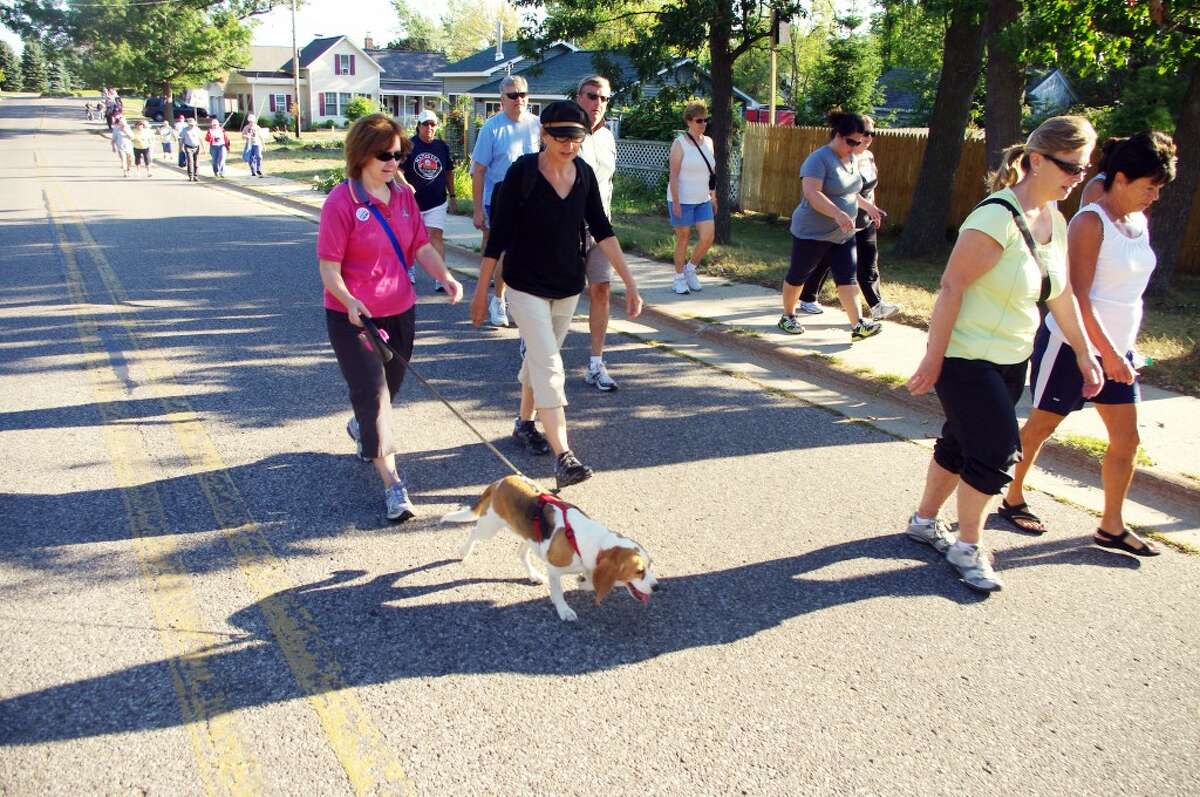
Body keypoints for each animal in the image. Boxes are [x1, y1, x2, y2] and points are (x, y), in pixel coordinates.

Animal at [446, 475, 662, 619]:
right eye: (639, 571)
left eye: (650, 565)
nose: (658, 587)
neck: (594, 541)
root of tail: (501, 481)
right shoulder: (554, 569)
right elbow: (558, 591)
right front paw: (564, 609)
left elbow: (591, 581)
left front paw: (583, 582)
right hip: (489, 527)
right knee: (474, 532)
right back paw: (463, 552)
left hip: (530, 537)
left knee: (520, 553)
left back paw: (533, 575)